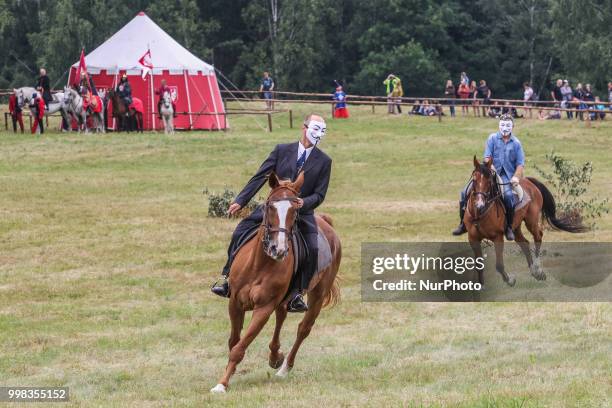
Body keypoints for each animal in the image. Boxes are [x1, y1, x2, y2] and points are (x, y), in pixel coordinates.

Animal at [212, 170, 342, 392]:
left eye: (295, 210)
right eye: (270, 206)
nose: (278, 249)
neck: (259, 264)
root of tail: (326, 223)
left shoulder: (263, 308)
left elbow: (240, 347)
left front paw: (222, 384)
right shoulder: (235, 303)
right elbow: (234, 341)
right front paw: (228, 376)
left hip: (317, 295)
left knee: (303, 329)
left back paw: (283, 368)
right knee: (281, 316)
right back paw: (275, 356)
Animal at [464, 156, 588, 286]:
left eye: (489, 181)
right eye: (474, 179)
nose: (479, 204)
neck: (480, 213)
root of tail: (529, 181)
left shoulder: (497, 237)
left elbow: (499, 265)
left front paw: (510, 280)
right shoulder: (473, 238)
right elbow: (478, 265)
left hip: (531, 221)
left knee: (538, 236)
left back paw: (538, 270)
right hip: (515, 227)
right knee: (524, 243)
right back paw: (534, 271)